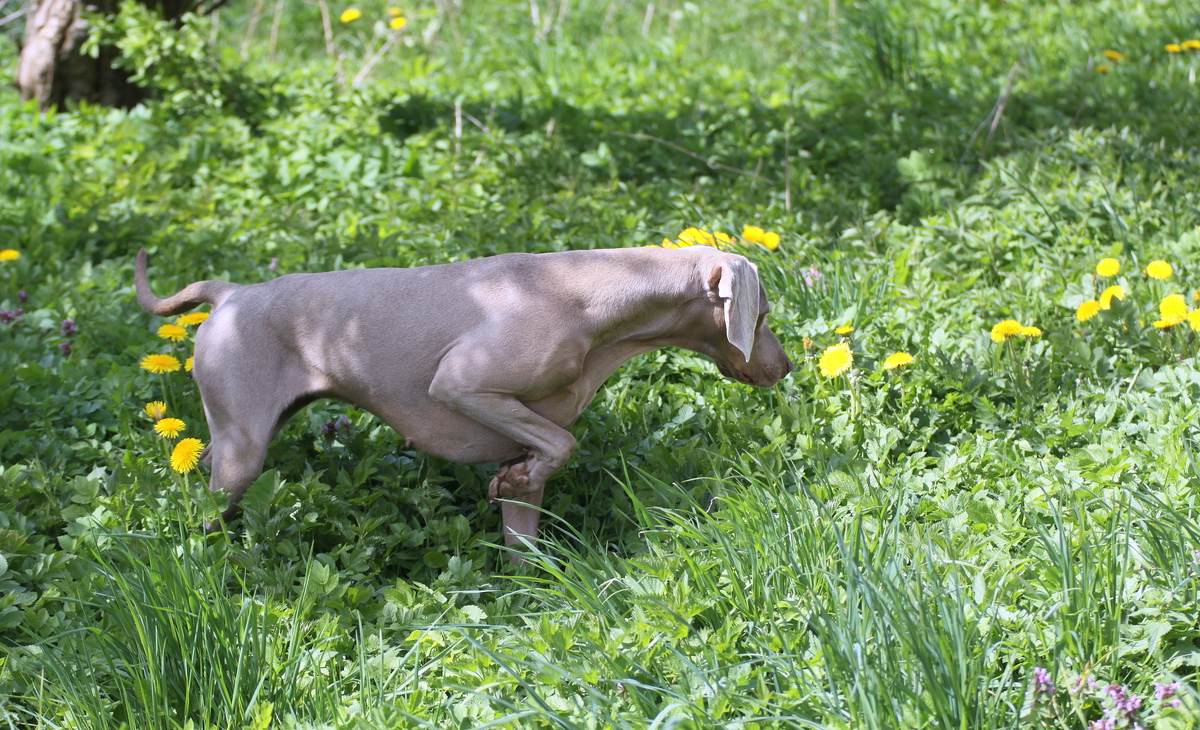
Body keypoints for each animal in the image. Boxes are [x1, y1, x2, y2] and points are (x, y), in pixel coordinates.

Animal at [136, 244, 792, 559]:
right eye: (761, 315)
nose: (784, 368)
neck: (589, 300)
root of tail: (231, 293)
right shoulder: (459, 384)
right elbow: (564, 442)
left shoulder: (524, 451)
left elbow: (530, 522)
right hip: (243, 451)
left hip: (237, 439)